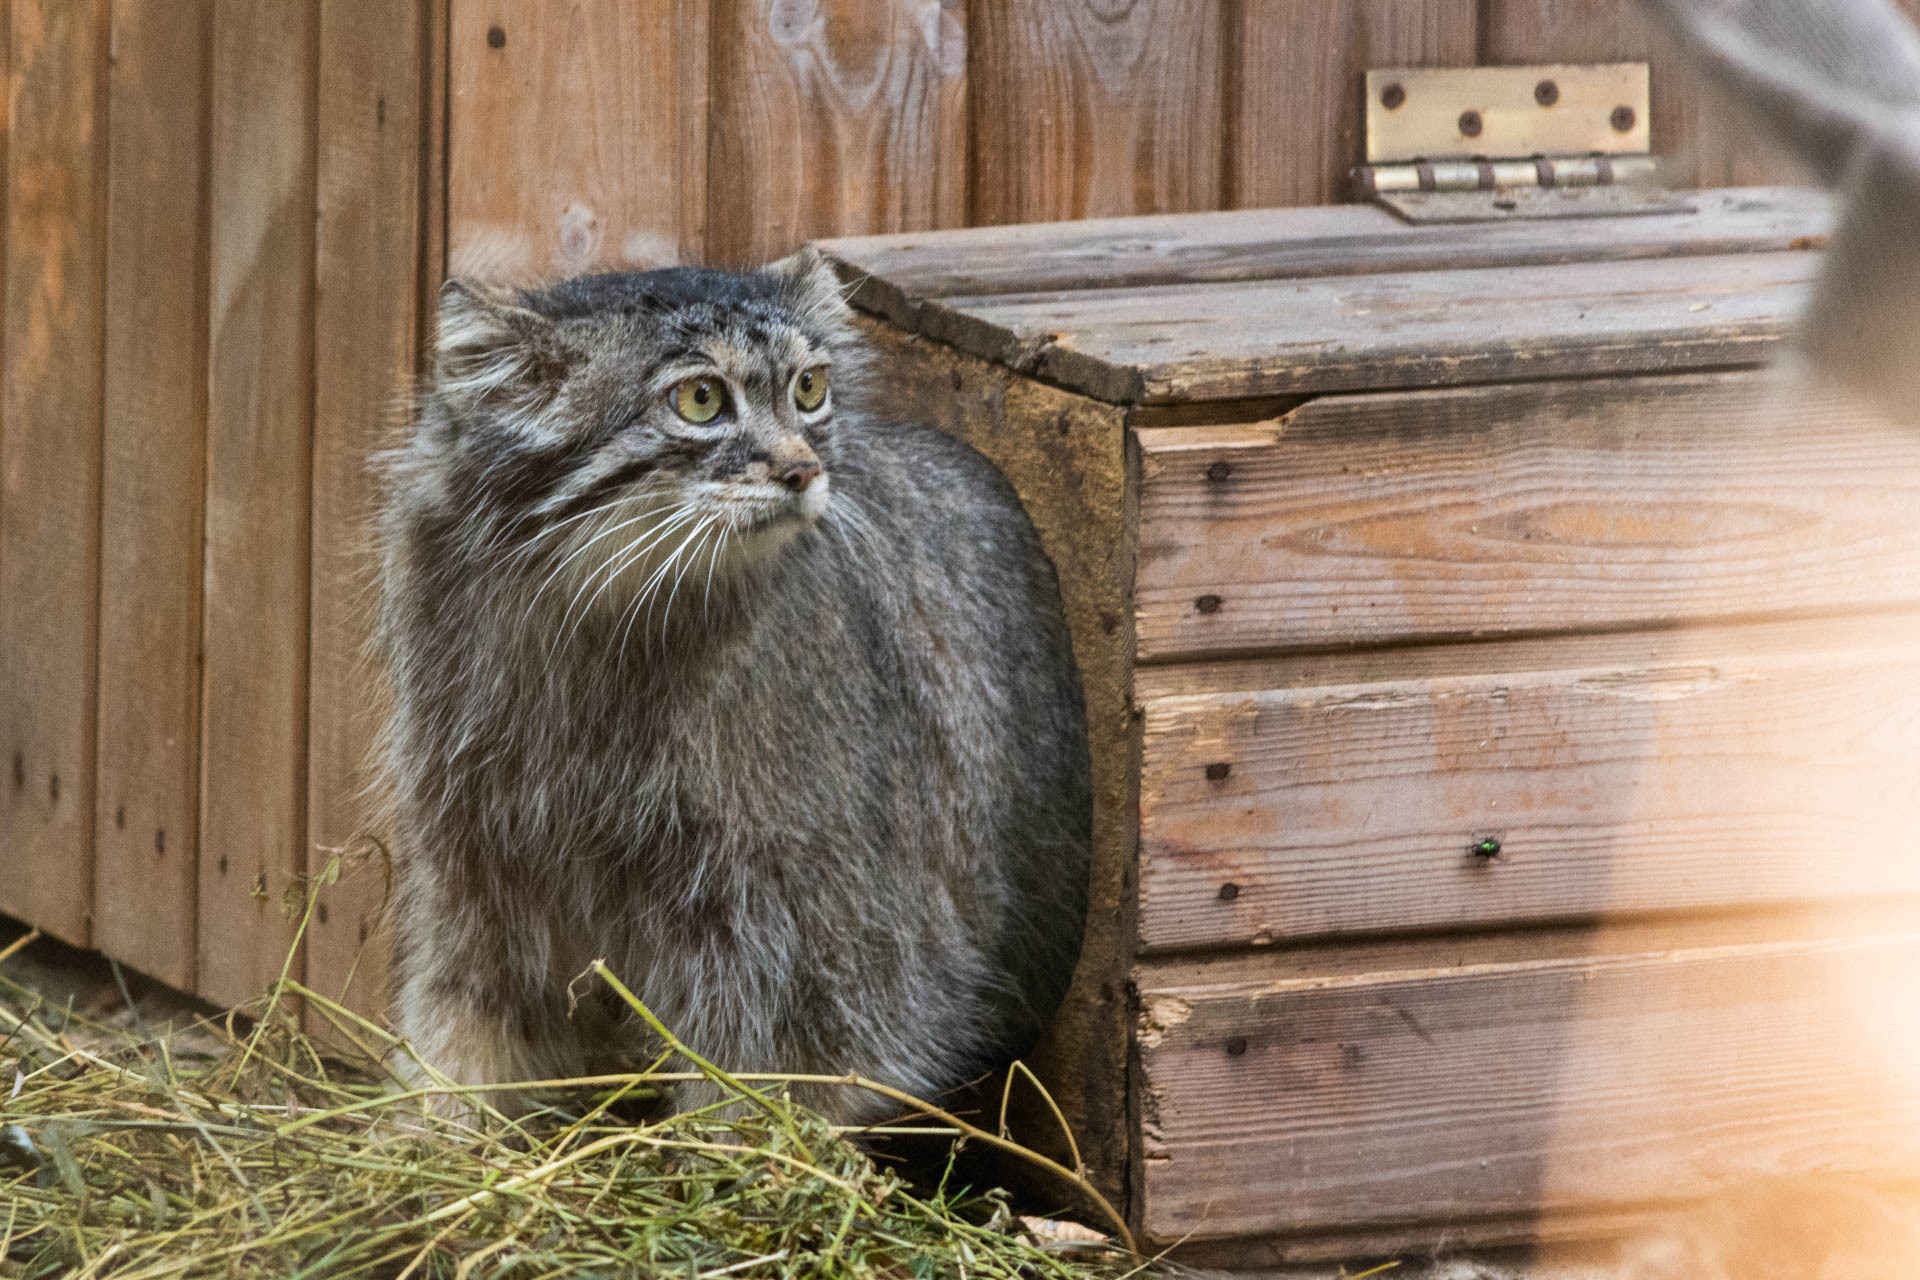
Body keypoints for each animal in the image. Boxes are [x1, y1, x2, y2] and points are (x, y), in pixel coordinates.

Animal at [376, 253, 1098, 1120]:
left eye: (809, 388)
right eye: (701, 399)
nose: (804, 470)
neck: (605, 629)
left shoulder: (808, 912)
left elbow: (772, 1069)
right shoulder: (476, 856)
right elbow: (465, 1015)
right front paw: (434, 1126)